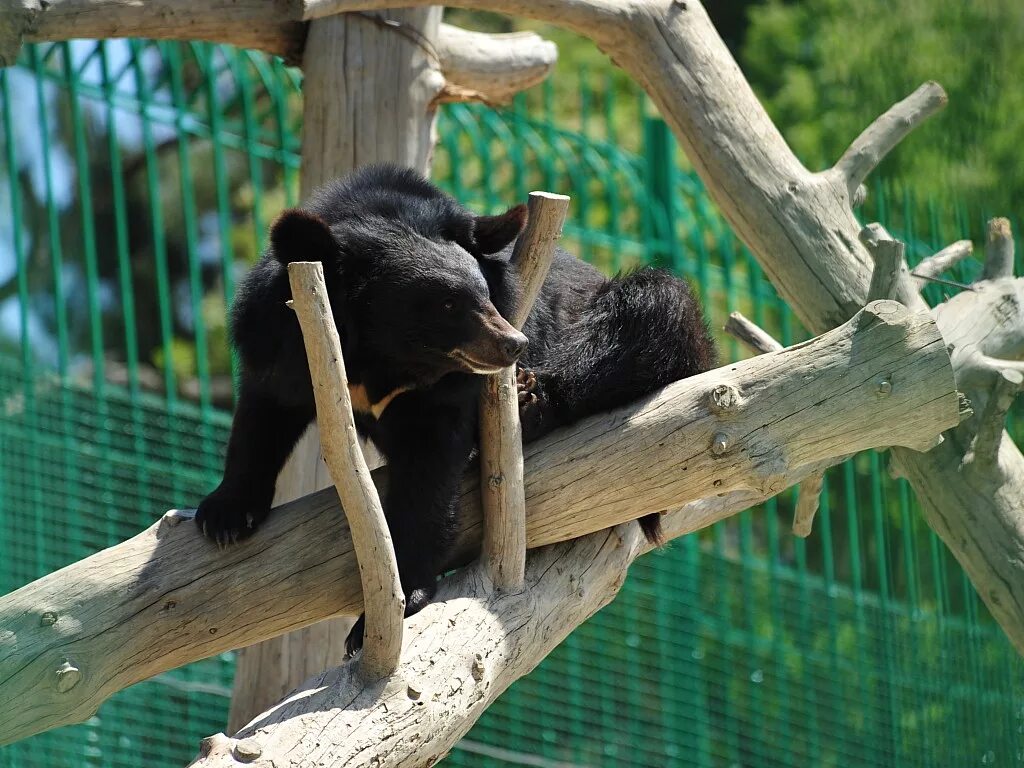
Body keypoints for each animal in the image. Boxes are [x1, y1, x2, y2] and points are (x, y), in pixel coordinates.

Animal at [195, 162, 716, 655]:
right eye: (446, 304)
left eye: (484, 294)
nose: (513, 344)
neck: (381, 358)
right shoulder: (284, 336)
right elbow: (264, 412)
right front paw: (223, 516)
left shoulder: (446, 393)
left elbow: (428, 476)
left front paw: (389, 609)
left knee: (655, 303)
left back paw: (529, 403)